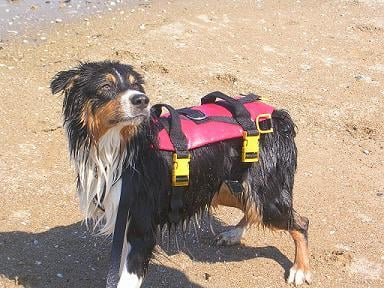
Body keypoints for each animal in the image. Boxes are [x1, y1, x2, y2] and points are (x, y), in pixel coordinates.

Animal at [50, 60, 312, 286]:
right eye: (106, 86)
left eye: (136, 86)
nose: (142, 100)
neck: (119, 148)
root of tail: (277, 114)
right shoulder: (124, 221)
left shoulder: (142, 228)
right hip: (222, 187)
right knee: (252, 210)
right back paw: (234, 234)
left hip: (263, 194)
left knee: (300, 223)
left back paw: (300, 269)